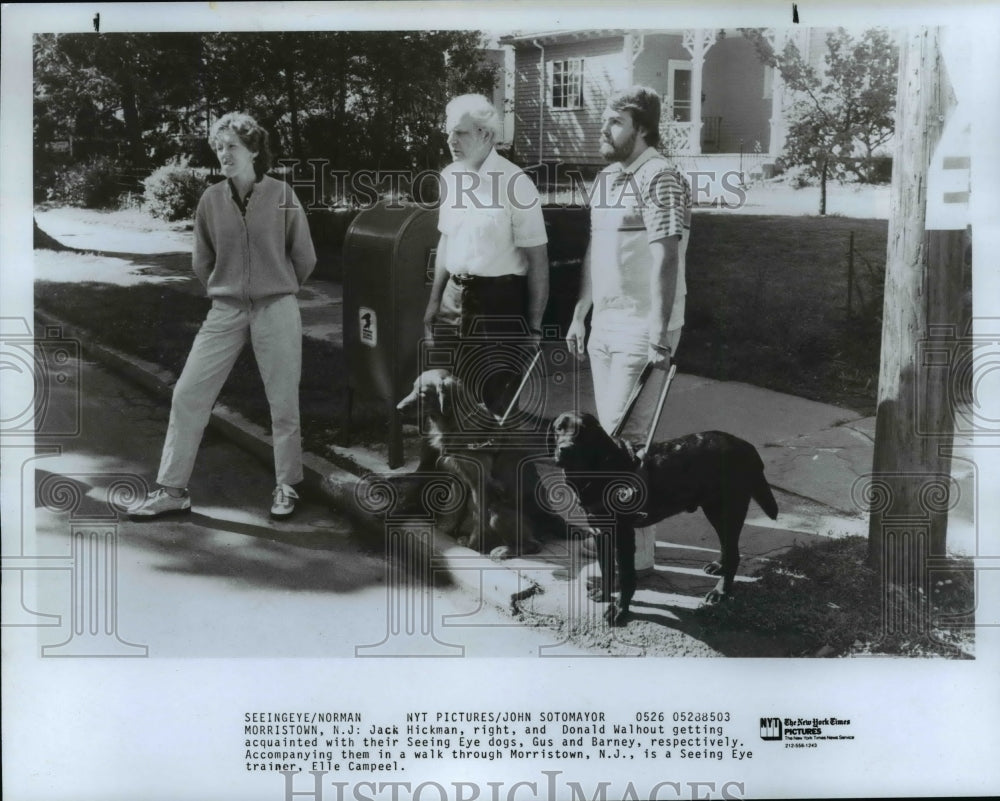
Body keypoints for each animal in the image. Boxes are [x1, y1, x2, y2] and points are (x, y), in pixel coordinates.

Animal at [552, 412, 776, 624]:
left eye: (583, 432)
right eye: (558, 429)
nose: (564, 449)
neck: (597, 469)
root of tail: (746, 446)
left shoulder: (624, 536)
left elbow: (625, 576)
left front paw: (620, 609)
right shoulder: (601, 532)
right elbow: (606, 569)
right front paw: (605, 594)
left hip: (726, 509)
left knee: (734, 553)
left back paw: (720, 592)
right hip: (715, 509)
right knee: (728, 546)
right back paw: (719, 566)